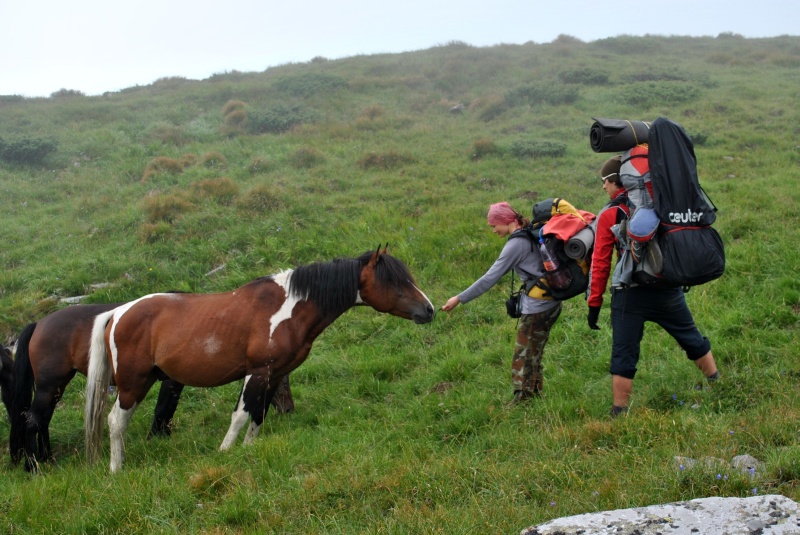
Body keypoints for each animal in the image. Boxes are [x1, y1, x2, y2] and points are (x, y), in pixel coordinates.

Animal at [9, 302, 295, 472]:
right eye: (283, 383)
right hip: (50, 386)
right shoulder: (171, 380)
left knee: (42, 420)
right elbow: (165, 408)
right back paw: (34, 467)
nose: (289, 409)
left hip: (55, 387)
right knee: (34, 420)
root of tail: (39, 324)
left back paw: (45, 459)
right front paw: (158, 436)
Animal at [85, 247, 434, 471]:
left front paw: (248, 451)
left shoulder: (276, 375)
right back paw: (117, 469)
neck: (290, 307)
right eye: (392, 280)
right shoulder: (258, 371)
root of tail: (118, 312)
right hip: (133, 383)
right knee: (116, 422)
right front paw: (225, 453)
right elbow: (241, 415)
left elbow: (259, 415)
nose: (429, 310)